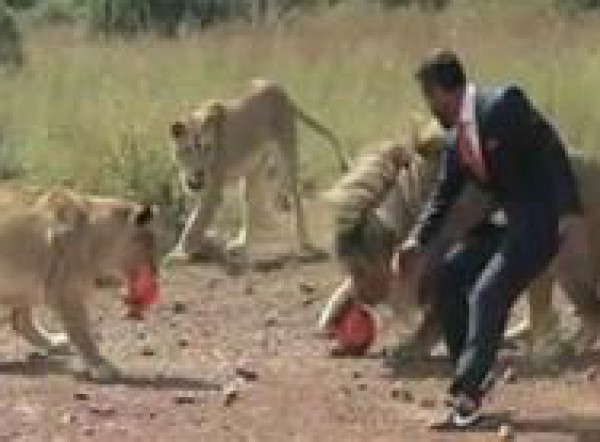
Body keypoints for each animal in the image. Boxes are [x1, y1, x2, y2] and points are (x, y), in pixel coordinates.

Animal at [0, 187, 158, 380]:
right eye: (150, 243)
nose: (156, 271)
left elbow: (22, 321)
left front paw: (54, 342)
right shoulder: (65, 293)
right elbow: (82, 332)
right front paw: (101, 366)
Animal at [166, 78, 349, 263]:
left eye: (207, 148)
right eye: (188, 149)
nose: (200, 172)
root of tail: (280, 89)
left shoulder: (213, 191)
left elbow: (194, 225)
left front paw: (178, 253)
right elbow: (193, 220)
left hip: (286, 152)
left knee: (295, 197)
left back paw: (305, 243)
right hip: (253, 169)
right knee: (250, 206)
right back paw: (242, 243)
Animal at [319, 117, 600, 360]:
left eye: (360, 268)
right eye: (349, 267)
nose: (366, 298)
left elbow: (434, 311)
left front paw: (412, 347)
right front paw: (332, 316)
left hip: (563, 256)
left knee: (586, 314)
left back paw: (558, 349)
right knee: (571, 314)